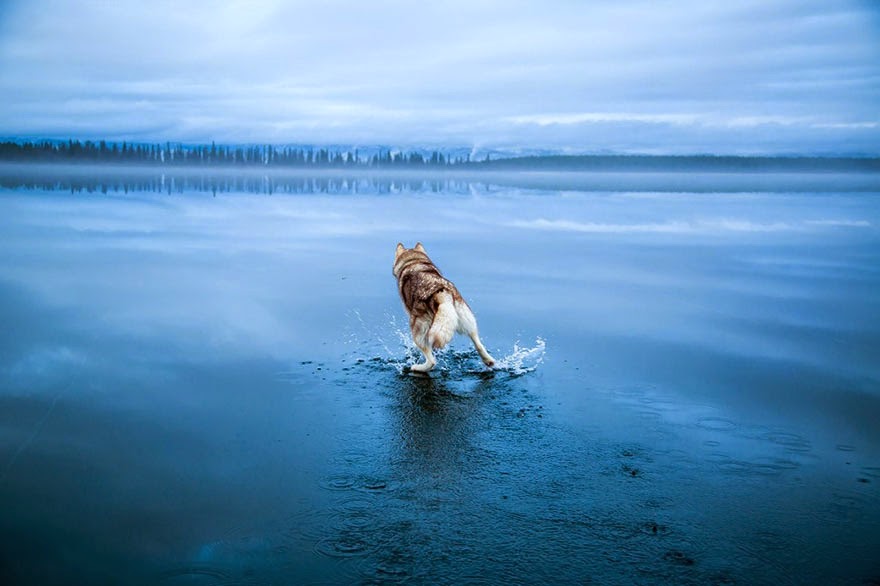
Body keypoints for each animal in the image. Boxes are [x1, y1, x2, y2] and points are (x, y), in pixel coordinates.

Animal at [392, 241, 496, 370]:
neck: (414, 261)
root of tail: (440, 292)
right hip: (466, 320)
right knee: (478, 343)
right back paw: (488, 361)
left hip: (419, 330)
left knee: (431, 361)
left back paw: (417, 367)